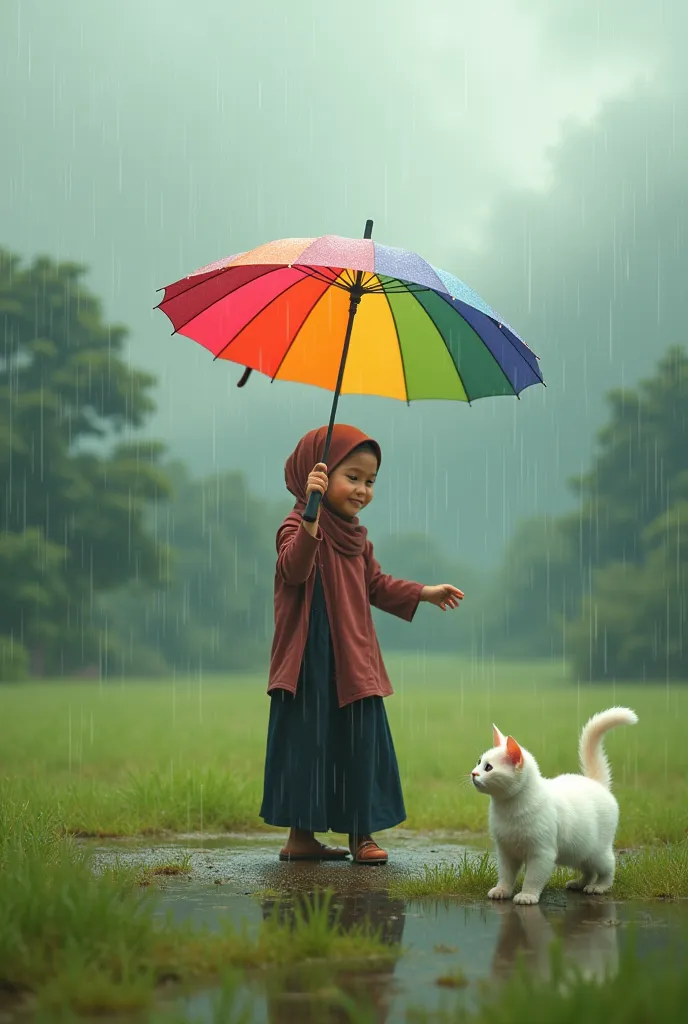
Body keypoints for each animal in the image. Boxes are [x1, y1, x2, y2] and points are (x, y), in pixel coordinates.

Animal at [470, 708, 638, 909]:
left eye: (488, 767)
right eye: (478, 762)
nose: (473, 773)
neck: (508, 808)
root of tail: (595, 782)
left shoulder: (542, 853)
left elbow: (533, 878)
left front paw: (527, 895)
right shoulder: (506, 852)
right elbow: (506, 875)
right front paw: (502, 890)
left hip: (597, 852)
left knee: (609, 867)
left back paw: (598, 887)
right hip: (578, 851)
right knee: (588, 870)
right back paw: (579, 883)